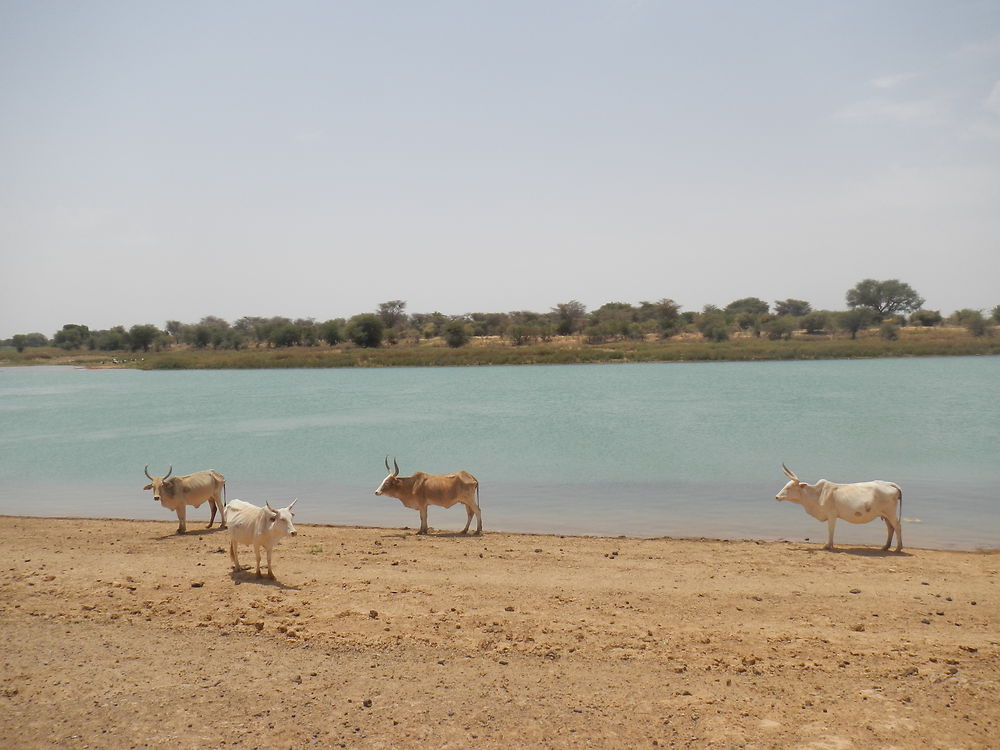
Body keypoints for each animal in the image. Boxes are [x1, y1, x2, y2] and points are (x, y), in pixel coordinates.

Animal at [772, 464, 908, 552]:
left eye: (789, 487)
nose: (777, 497)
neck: (817, 494)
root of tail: (890, 484)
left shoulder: (832, 515)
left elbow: (831, 530)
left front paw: (828, 546)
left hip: (890, 513)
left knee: (897, 526)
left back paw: (898, 548)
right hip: (885, 514)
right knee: (890, 528)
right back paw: (885, 547)